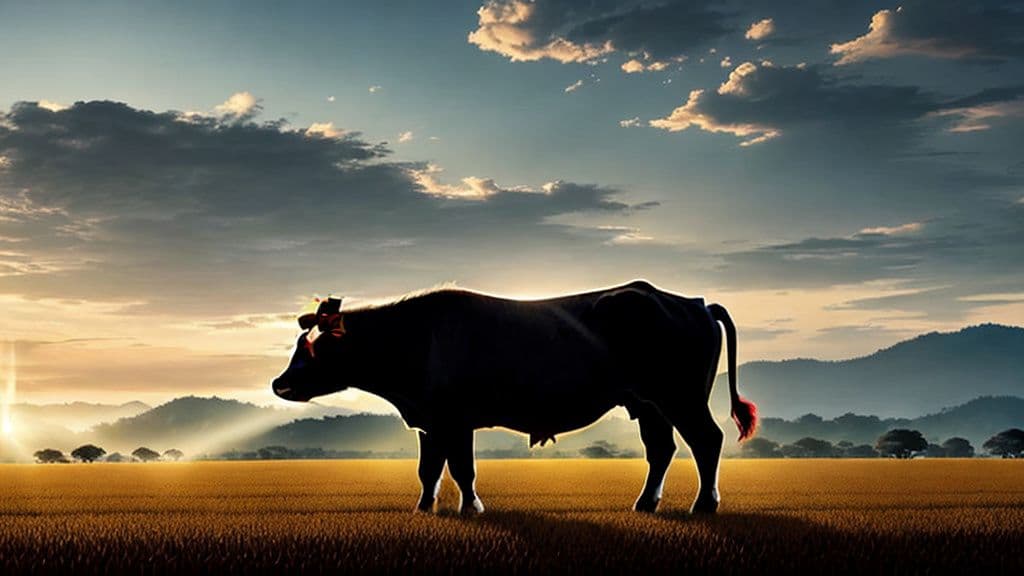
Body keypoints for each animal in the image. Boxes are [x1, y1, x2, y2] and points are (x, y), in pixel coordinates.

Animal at [272, 279, 757, 515]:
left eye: (313, 349)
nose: (279, 383)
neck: (415, 337)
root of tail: (693, 302)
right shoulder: (431, 422)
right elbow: (428, 471)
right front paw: (424, 509)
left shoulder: (455, 420)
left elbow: (461, 470)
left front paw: (471, 507)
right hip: (649, 405)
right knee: (662, 449)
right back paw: (645, 504)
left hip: (682, 399)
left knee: (706, 441)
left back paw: (704, 505)